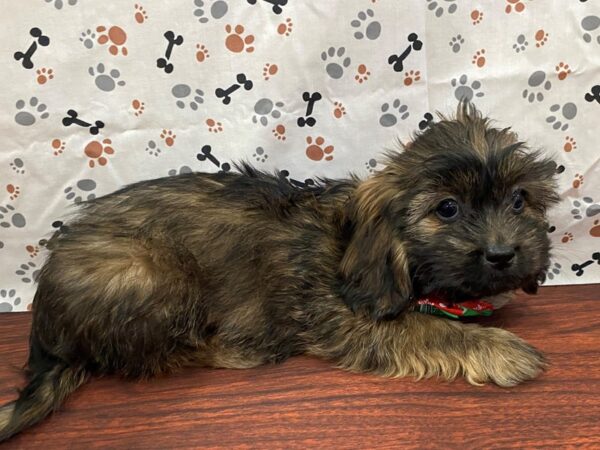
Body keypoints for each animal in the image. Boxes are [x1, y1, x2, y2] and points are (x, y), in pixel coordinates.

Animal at [2, 101, 560, 440]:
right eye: (447, 208)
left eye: (519, 200)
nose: (503, 253)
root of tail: (47, 325)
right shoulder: (349, 319)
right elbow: (428, 328)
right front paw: (498, 349)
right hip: (150, 276)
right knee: (153, 354)